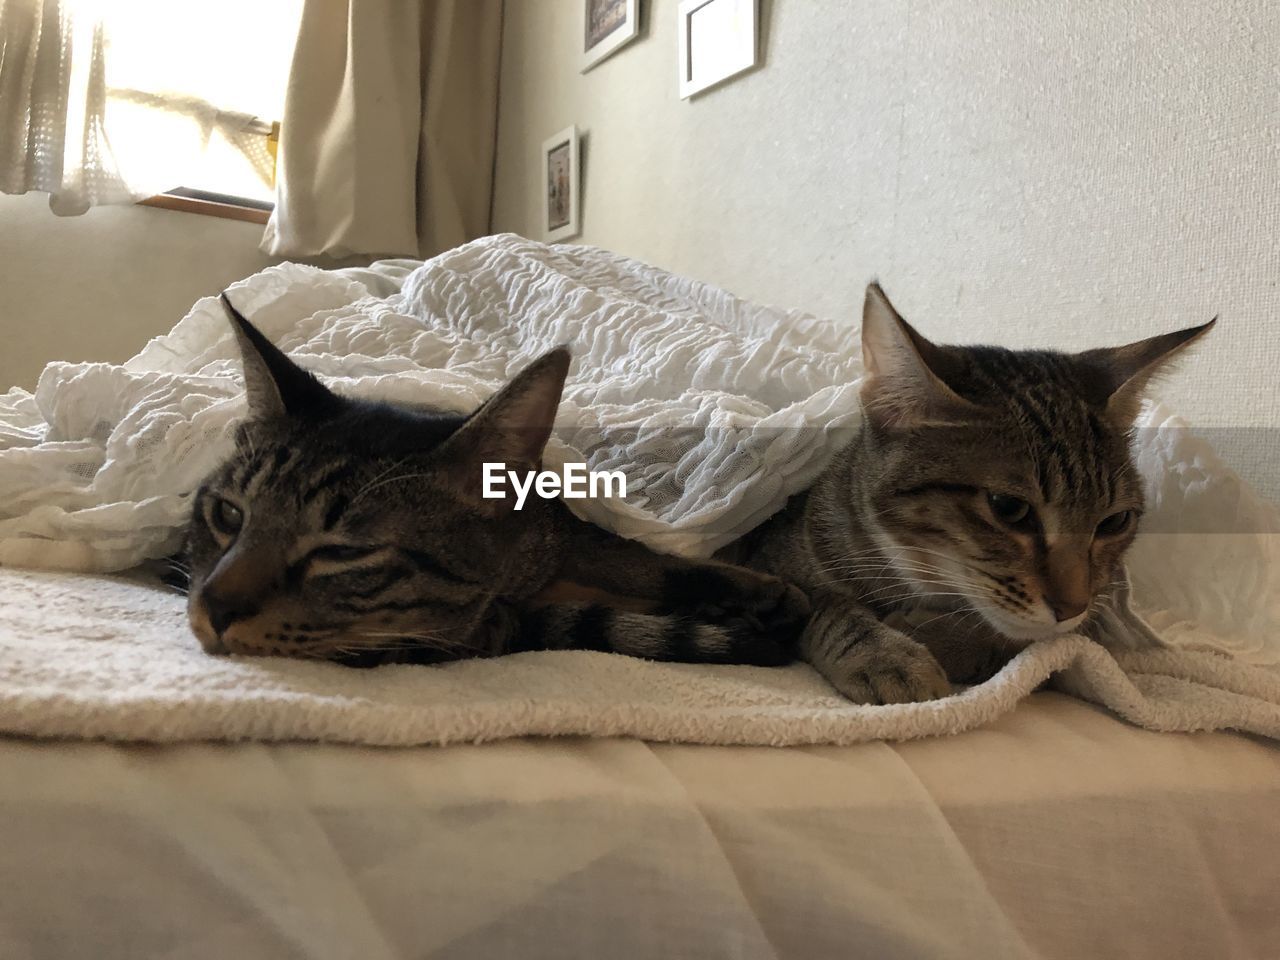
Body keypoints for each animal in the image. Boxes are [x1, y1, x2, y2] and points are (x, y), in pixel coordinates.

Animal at [184, 299, 803, 670]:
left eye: (343, 553)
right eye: (229, 515)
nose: (213, 605)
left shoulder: (567, 530)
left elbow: (640, 558)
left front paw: (755, 592)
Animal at [721, 281, 1208, 701]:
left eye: (1114, 522)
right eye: (1009, 508)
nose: (1072, 605)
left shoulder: (1090, 614)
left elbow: (1028, 639)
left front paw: (940, 636)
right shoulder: (772, 564)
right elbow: (828, 604)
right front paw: (884, 655)